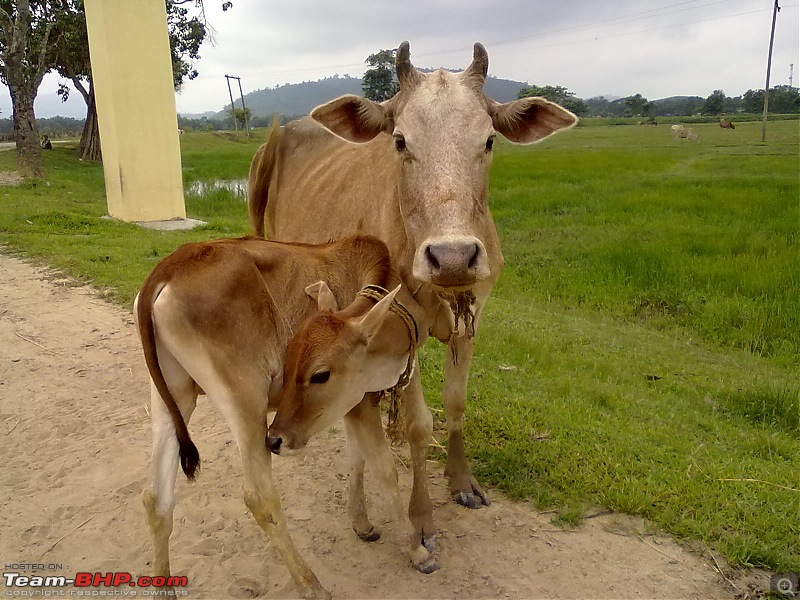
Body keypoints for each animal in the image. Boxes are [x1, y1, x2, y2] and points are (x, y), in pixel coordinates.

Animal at [137, 234, 434, 596]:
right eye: (320, 374)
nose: (279, 439)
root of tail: (170, 266)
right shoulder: (361, 400)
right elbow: (384, 469)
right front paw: (417, 550)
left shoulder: (361, 400)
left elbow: (360, 456)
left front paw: (362, 525)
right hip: (245, 399)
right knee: (259, 496)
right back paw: (312, 585)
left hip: (172, 397)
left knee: (156, 498)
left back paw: (163, 588)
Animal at [247, 43, 580, 528]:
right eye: (400, 141)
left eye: (489, 140)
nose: (453, 256)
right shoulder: (401, 326)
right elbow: (419, 425)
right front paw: (420, 515)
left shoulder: (470, 317)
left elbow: (455, 403)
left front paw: (462, 481)